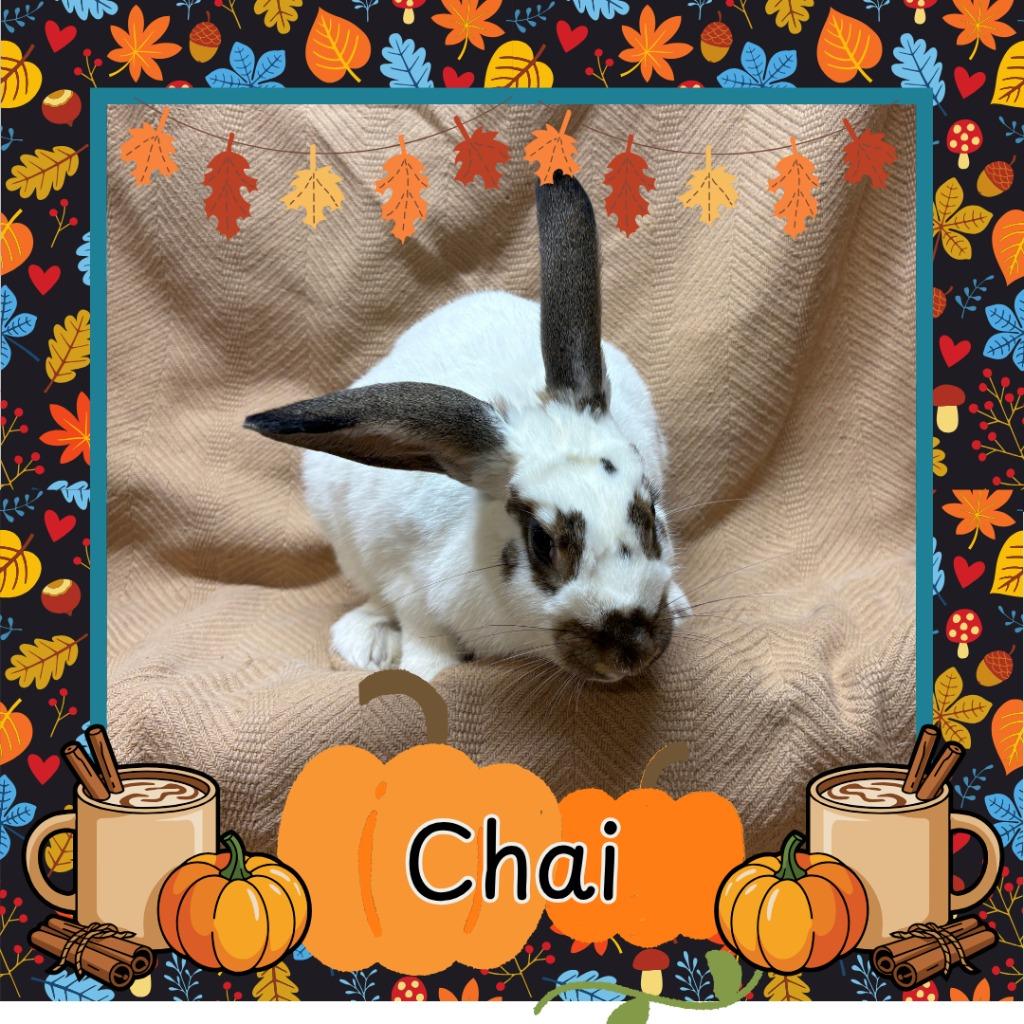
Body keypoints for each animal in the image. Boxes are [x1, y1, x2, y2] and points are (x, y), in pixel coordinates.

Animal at [245, 172, 689, 683]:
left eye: (650, 512)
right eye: (540, 543)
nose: (631, 650)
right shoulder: (407, 581)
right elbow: (424, 631)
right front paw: (423, 671)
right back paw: (367, 642)